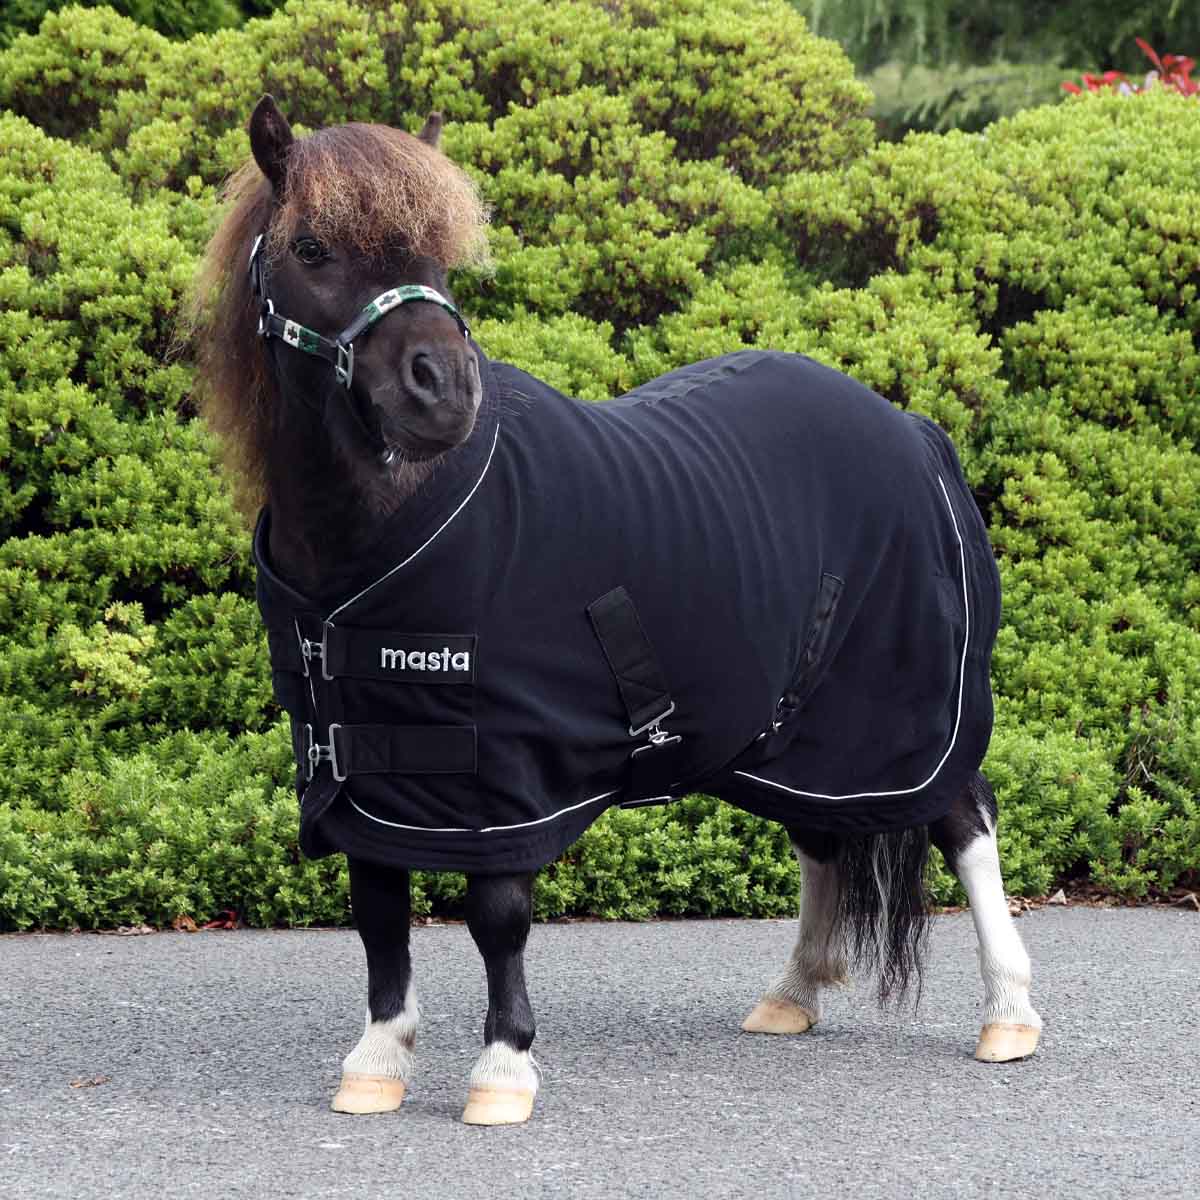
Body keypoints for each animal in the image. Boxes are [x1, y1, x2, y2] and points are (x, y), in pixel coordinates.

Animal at [187, 95, 1042, 1127]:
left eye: (439, 255)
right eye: (311, 247)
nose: (445, 391)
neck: (368, 548)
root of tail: (912, 429)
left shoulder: (502, 776)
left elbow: (497, 916)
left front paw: (503, 1070)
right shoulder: (364, 765)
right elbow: (378, 909)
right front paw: (378, 1061)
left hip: (900, 722)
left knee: (966, 820)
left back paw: (1008, 1015)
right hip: (796, 736)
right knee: (821, 842)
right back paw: (792, 994)